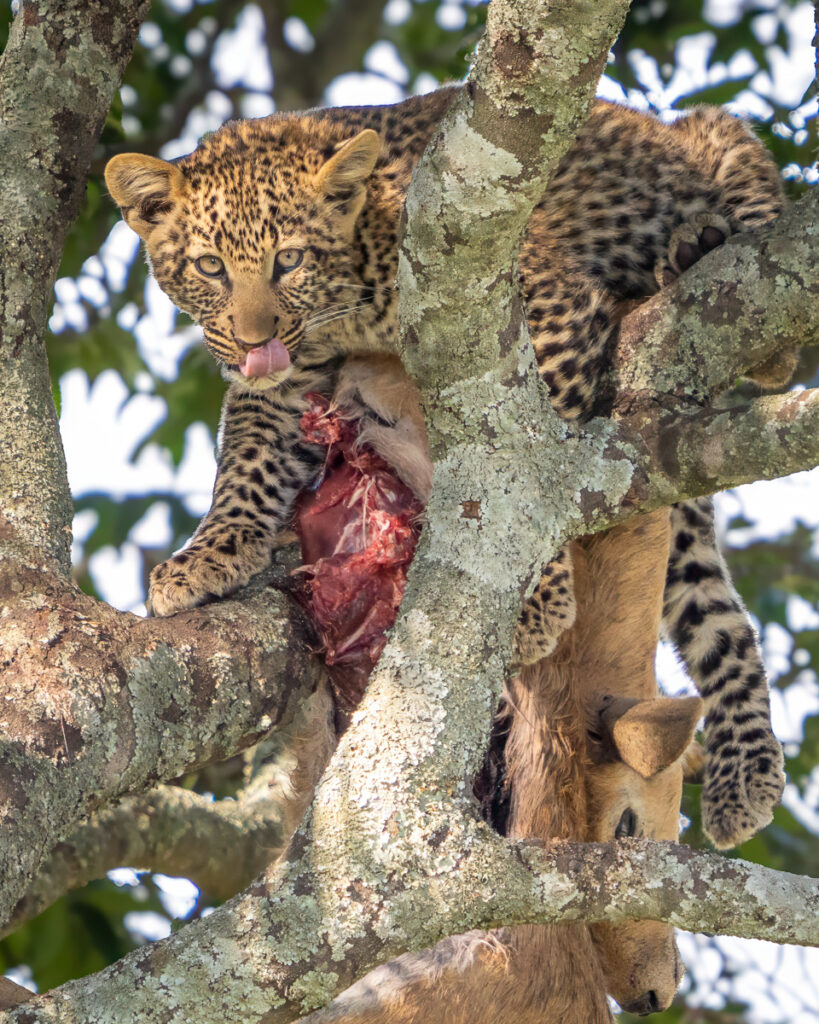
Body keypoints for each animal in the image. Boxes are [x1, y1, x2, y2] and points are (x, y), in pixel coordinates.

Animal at [105, 85, 788, 850]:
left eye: (289, 260)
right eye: (209, 268)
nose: (254, 340)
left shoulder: (539, 304)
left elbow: (529, 464)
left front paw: (537, 599)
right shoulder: (283, 382)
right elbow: (245, 466)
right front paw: (206, 556)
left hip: (718, 140)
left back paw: (703, 252)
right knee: (712, 611)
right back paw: (746, 775)